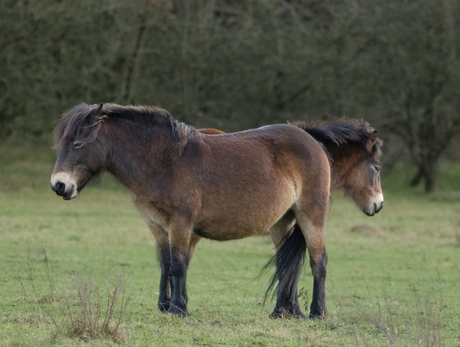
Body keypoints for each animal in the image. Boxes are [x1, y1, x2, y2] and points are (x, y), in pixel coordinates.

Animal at [50, 104, 382, 320]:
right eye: (62, 144)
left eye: (78, 143)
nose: (58, 185)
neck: (165, 160)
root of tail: (313, 142)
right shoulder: (158, 226)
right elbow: (165, 265)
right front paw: (166, 306)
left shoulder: (181, 225)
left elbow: (178, 266)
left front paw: (177, 310)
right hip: (282, 223)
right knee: (288, 264)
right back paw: (283, 312)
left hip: (311, 216)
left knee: (318, 261)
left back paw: (317, 313)